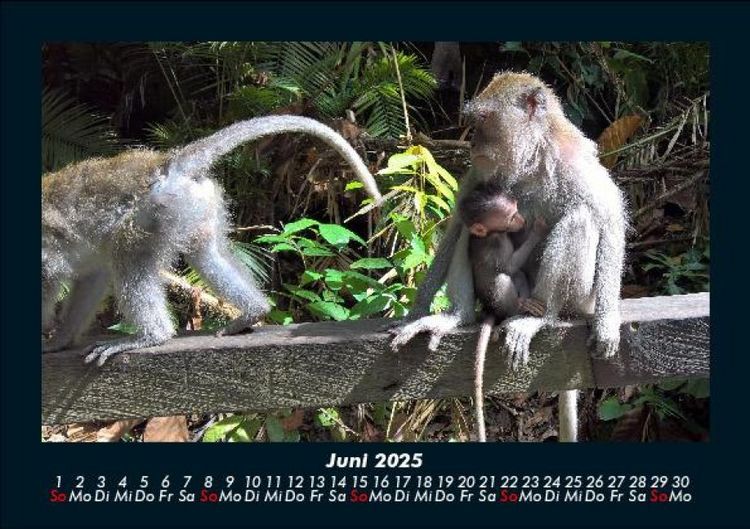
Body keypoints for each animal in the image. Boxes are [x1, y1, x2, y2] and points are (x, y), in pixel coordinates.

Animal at [42, 115, 383, 366]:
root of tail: (166, 162)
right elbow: (91, 277)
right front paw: (60, 340)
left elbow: (50, 282)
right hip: (193, 206)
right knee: (204, 253)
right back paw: (253, 310)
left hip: (154, 212)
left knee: (129, 257)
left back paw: (151, 336)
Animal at [457, 182, 547, 442]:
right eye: (510, 216)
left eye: (516, 209)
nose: (522, 219)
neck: (490, 233)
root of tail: (490, 309)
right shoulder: (496, 241)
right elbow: (507, 266)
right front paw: (538, 230)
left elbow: (515, 269)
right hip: (499, 302)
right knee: (504, 276)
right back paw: (517, 309)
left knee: (516, 275)